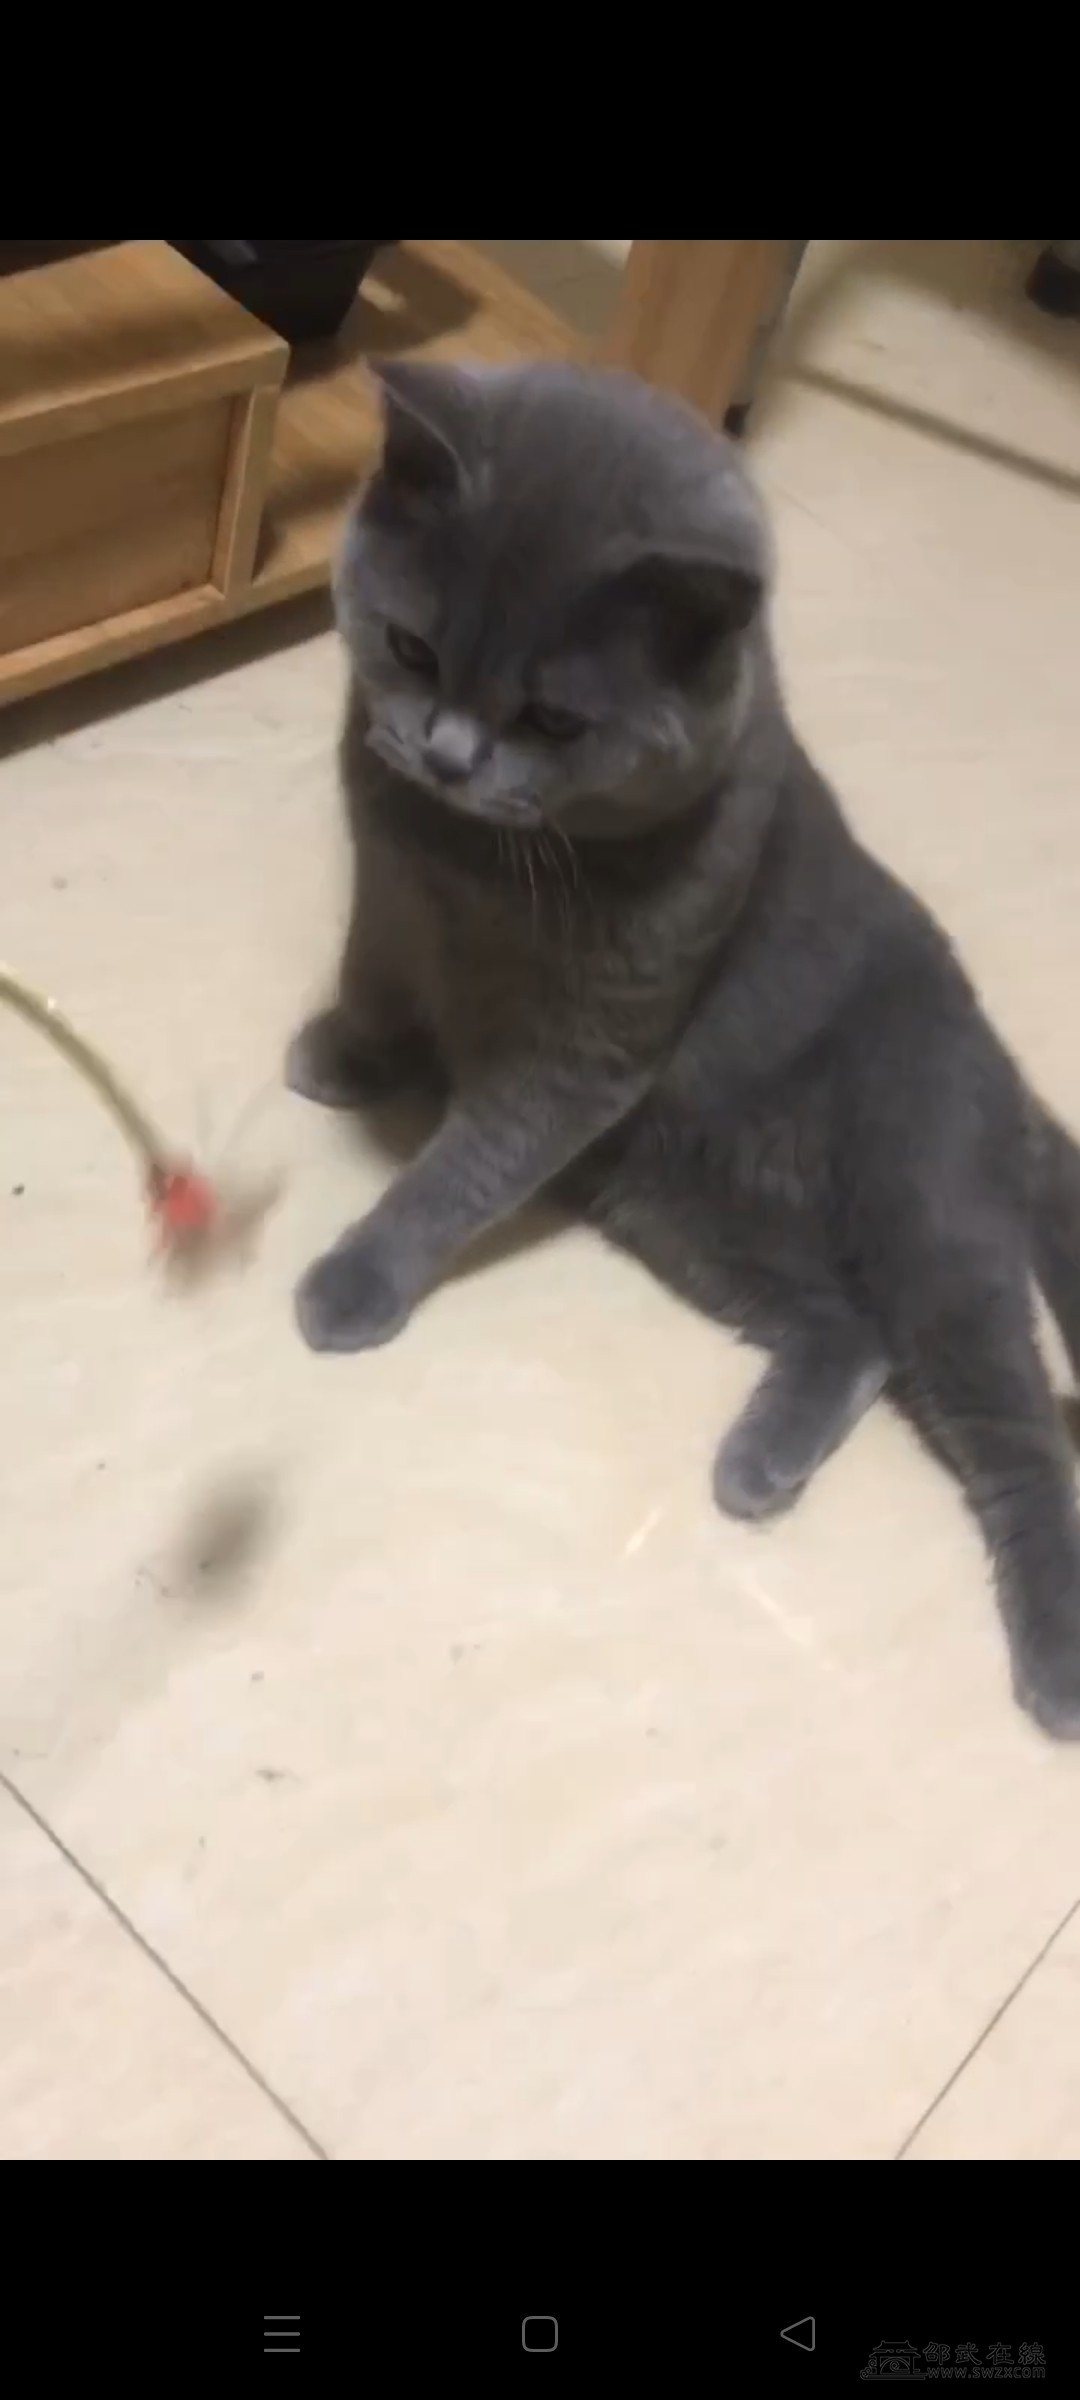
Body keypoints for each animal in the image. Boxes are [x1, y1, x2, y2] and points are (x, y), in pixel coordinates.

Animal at [289, 357, 1080, 1740]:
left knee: (1018, 1429)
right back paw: (759, 1466)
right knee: (848, 1332)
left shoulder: (588, 1054)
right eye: (411, 647)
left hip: (924, 1209)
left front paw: (359, 1276)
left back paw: (1059, 1663)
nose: (445, 753)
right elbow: (372, 975)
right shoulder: (385, 888)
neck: (470, 867)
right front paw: (346, 1057)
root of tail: (1018, 1093)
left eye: (554, 717)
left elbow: (457, 1172)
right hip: (687, 1207)